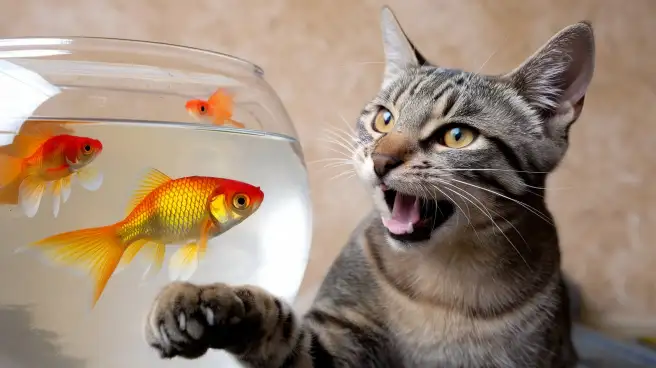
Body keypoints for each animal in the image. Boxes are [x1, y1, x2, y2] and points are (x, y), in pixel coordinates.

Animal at [142, 5, 596, 368]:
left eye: (457, 136)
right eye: (384, 119)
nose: (380, 159)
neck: (442, 288)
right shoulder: (336, 337)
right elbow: (275, 322)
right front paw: (200, 301)